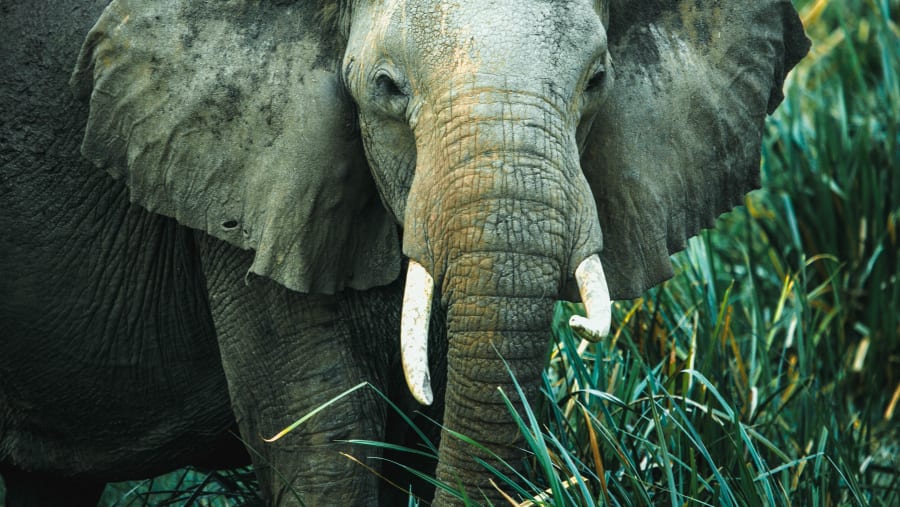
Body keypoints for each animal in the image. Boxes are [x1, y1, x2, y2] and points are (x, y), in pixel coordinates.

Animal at [1, 0, 809, 505]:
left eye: (597, 80)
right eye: (387, 88)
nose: (584, 328)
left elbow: (433, 426)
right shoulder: (238, 171)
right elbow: (326, 441)